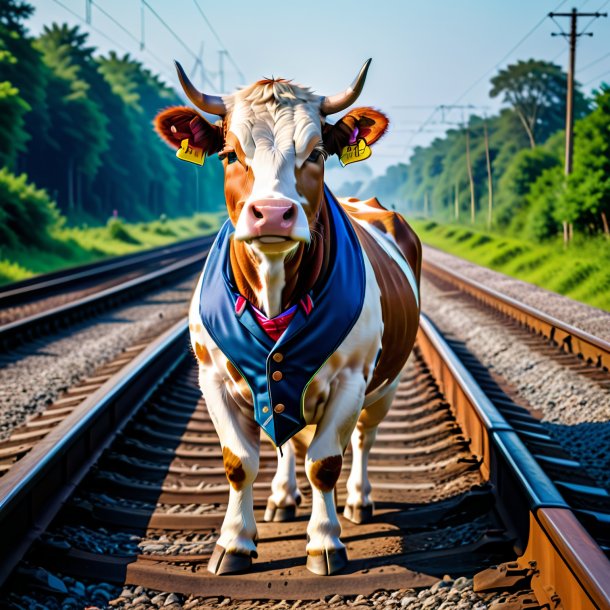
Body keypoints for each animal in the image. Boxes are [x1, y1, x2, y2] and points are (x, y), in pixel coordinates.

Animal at [153, 59, 418, 576]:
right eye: (230, 155)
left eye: (317, 152)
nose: (273, 213)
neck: (276, 292)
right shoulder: (213, 378)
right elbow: (240, 462)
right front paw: (234, 543)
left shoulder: (351, 379)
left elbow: (325, 463)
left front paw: (325, 542)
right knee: (289, 441)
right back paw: (280, 498)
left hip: (385, 385)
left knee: (363, 439)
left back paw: (358, 501)